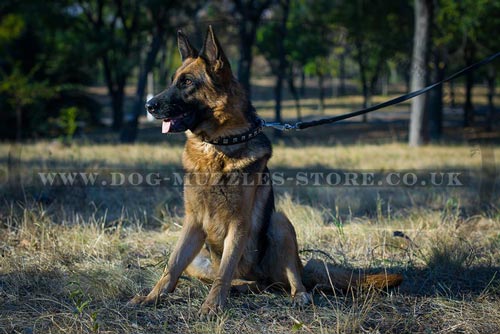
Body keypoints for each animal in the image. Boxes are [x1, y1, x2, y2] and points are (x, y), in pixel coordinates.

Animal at [130, 26, 402, 316]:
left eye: (187, 82)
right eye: (173, 81)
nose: (148, 106)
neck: (217, 146)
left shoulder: (239, 223)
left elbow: (224, 271)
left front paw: (213, 305)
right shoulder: (192, 222)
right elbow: (171, 267)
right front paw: (151, 297)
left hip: (280, 224)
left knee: (289, 277)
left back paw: (297, 295)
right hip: (201, 260)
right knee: (236, 279)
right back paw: (240, 287)